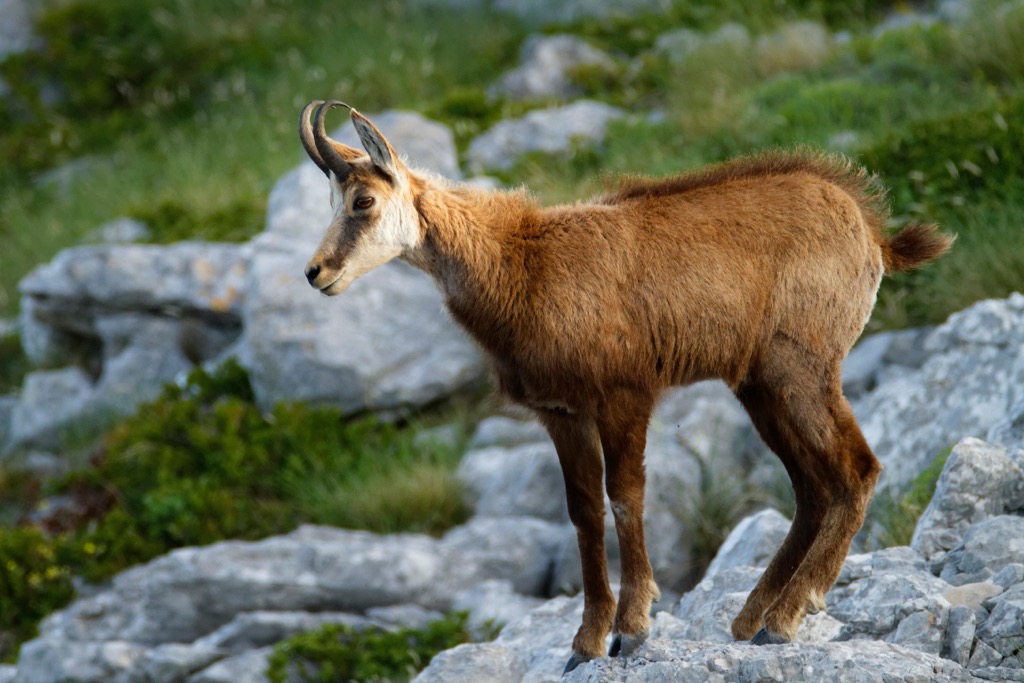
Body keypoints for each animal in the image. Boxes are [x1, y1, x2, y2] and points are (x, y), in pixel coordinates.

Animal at [297, 99, 953, 674]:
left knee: (856, 470)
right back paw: (752, 619)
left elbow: (626, 496)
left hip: (803, 370)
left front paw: (632, 629)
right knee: (813, 486)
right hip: (760, 387)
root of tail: (873, 236)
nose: (315, 272)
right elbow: (584, 512)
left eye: (362, 200)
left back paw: (786, 616)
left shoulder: (624, 395)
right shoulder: (561, 412)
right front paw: (586, 641)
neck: (523, 268)